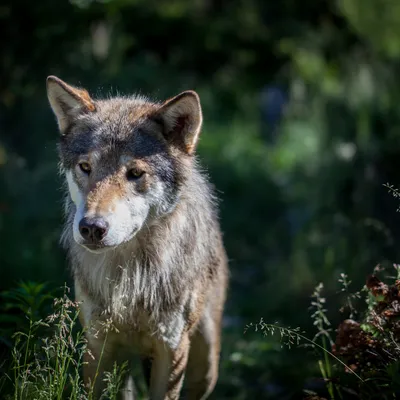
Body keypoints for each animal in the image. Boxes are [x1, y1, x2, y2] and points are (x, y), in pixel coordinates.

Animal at [46, 76, 228, 400]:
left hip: (205, 365)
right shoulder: (98, 345)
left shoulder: (171, 348)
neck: (131, 276)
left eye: (134, 173)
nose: (91, 227)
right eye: (85, 167)